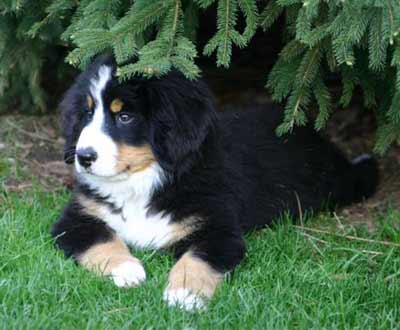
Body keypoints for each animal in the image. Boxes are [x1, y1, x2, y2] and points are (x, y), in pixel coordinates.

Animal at [52, 54, 378, 310]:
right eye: (87, 113)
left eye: (125, 117)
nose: (83, 156)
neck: (143, 182)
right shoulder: (77, 218)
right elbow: (103, 240)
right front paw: (127, 269)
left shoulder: (217, 228)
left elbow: (198, 258)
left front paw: (184, 294)